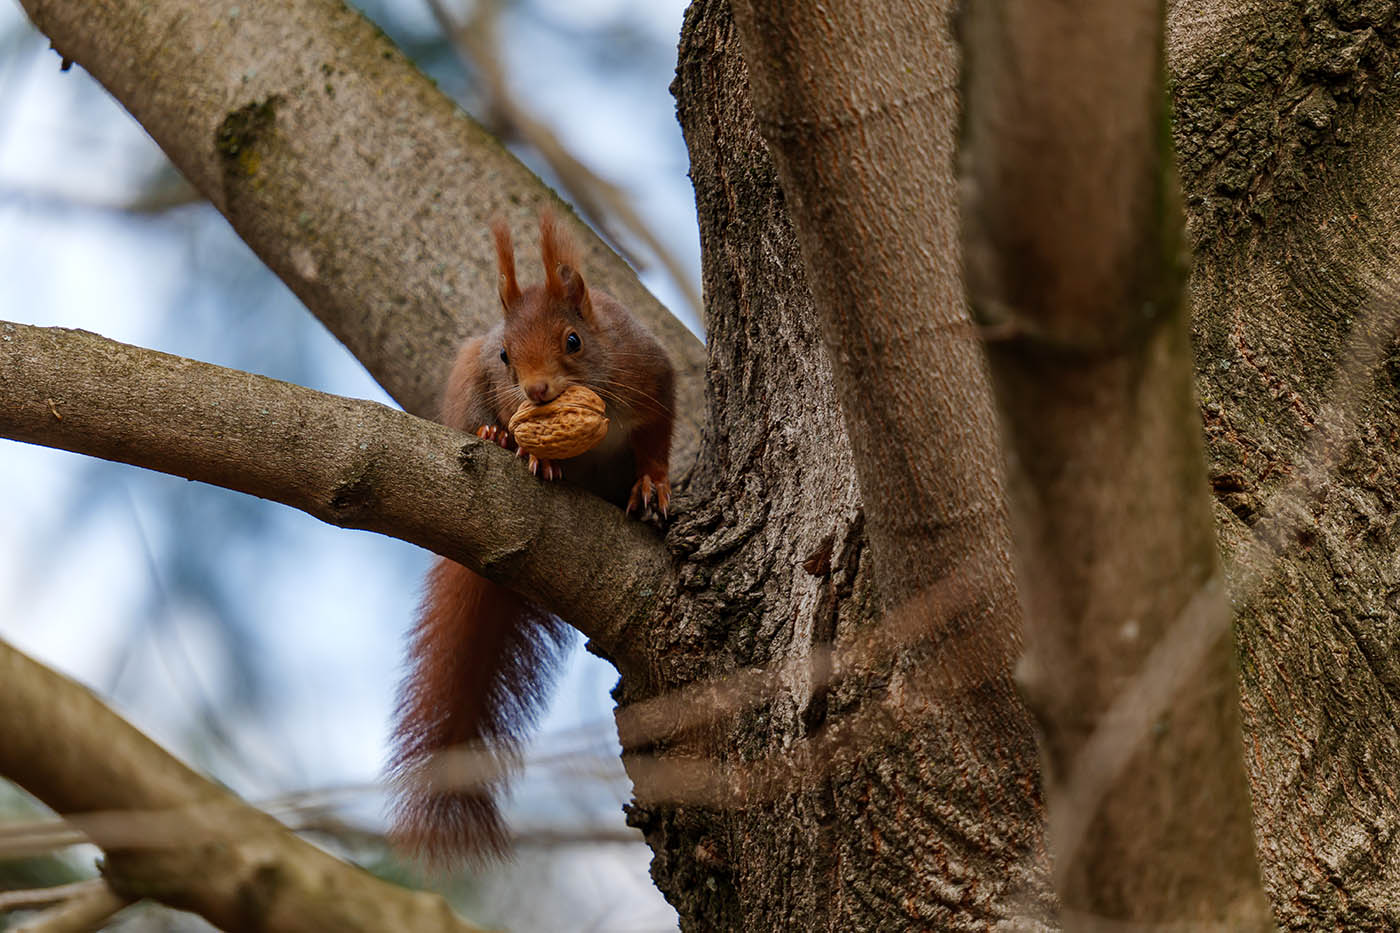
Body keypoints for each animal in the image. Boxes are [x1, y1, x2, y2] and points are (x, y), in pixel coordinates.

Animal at [389, 210, 672, 857]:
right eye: (504, 355)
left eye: (573, 341)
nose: (537, 391)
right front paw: (535, 453)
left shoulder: (651, 374)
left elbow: (657, 440)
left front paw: (653, 483)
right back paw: (499, 437)